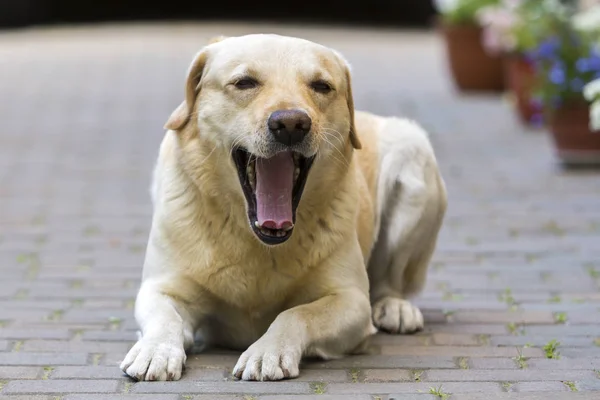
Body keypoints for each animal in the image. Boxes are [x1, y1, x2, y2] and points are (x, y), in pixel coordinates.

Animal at [119, 33, 446, 382]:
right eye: (244, 82)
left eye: (321, 86)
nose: (291, 123)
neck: (259, 244)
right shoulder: (162, 288)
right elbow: (165, 316)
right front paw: (156, 349)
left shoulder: (352, 301)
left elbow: (296, 313)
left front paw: (268, 351)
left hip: (412, 154)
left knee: (390, 280)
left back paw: (395, 307)